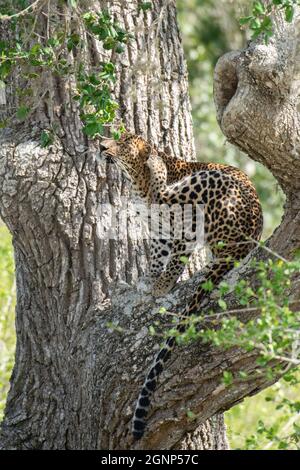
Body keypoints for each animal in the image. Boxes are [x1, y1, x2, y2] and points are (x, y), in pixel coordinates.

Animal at [101, 132, 262, 440]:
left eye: (124, 143)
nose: (101, 144)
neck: (135, 181)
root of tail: (245, 239)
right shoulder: (159, 230)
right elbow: (157, 253)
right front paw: (151, 279)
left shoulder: (181, 226)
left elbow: (175, 255)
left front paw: (163, 284)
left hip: (205, 186)